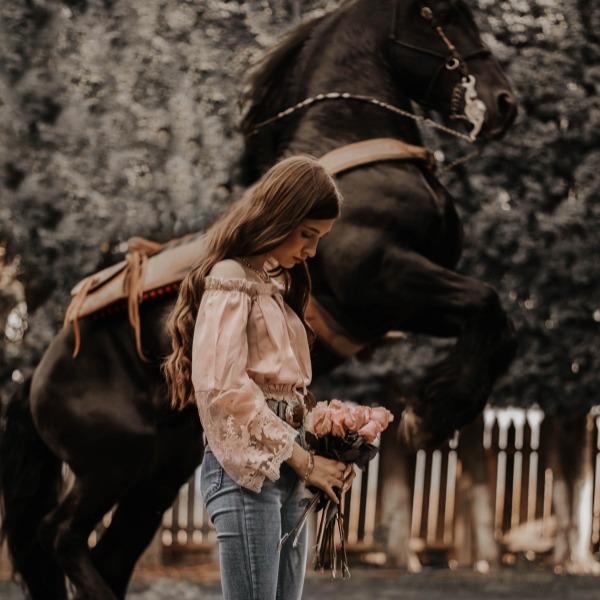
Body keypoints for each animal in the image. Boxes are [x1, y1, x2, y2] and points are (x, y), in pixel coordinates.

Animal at [0, 1, 516, 600]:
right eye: (438, 13)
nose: (504, 103)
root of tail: (38, 376)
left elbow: (493, 321)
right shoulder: (386, 279)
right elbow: (487, 306)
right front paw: (430, 417)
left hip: (158, 474)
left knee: (106, 553)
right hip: (112, 464)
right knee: (59, 534)